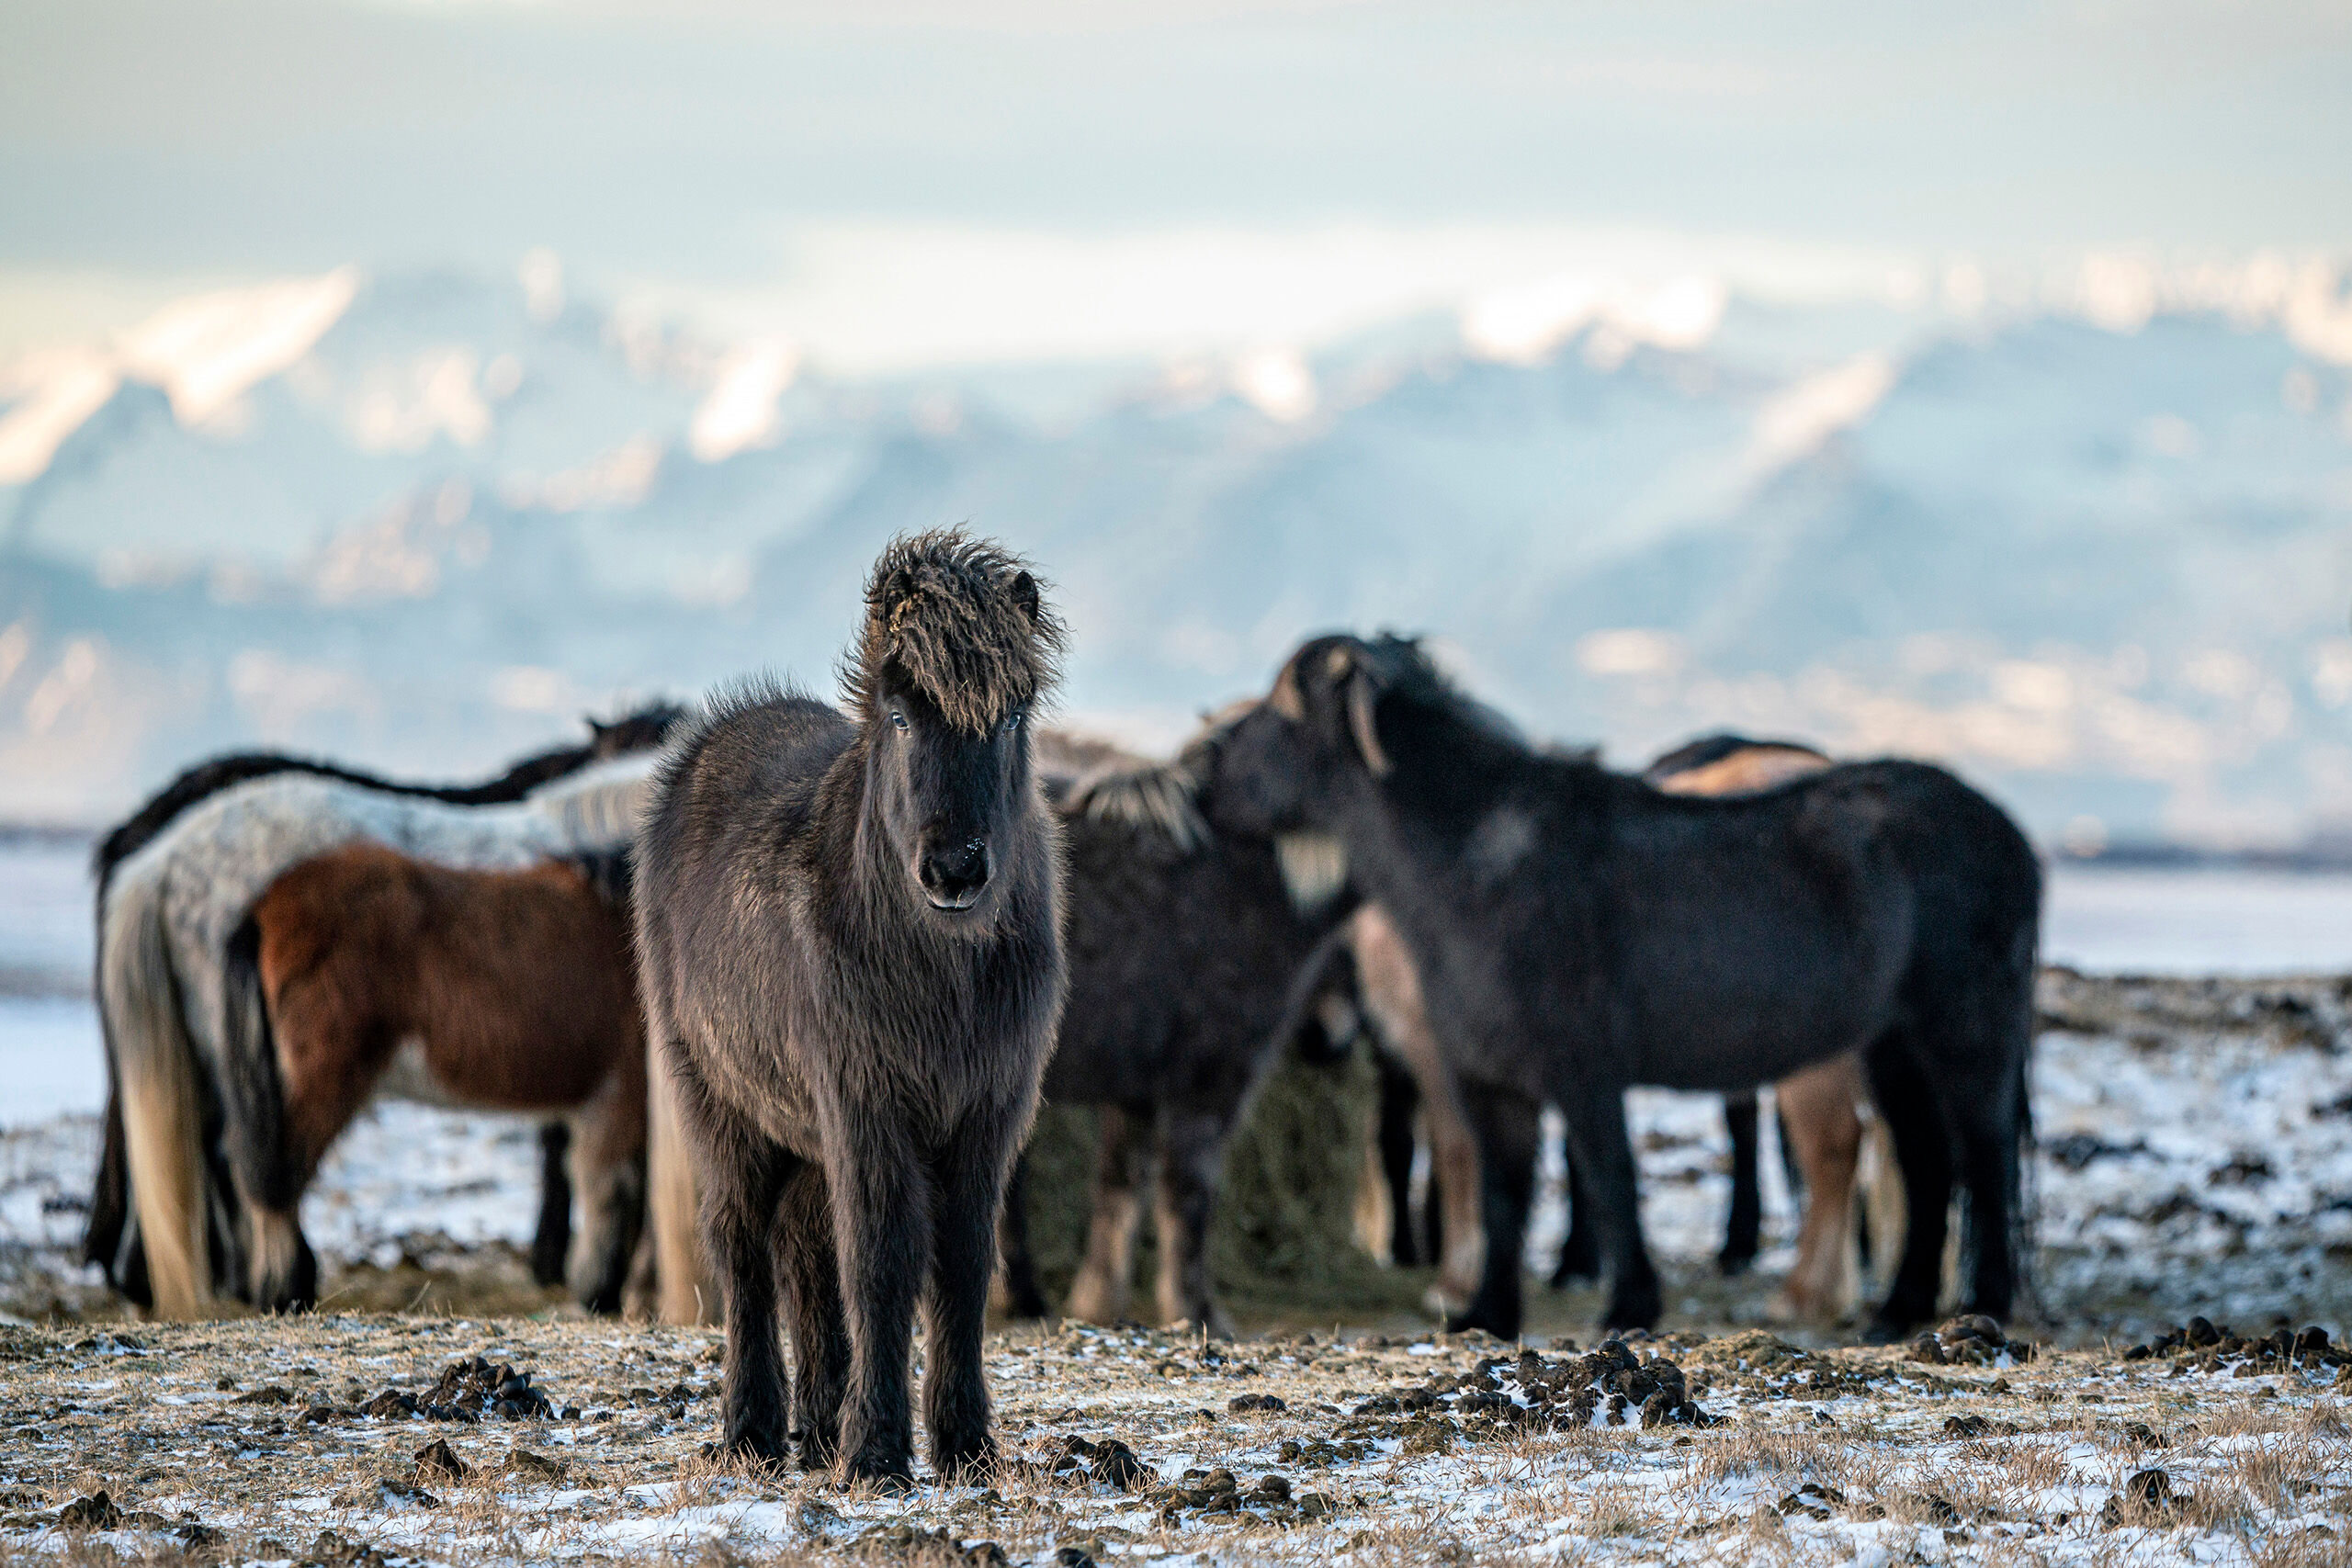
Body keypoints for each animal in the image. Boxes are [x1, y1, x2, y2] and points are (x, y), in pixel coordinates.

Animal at [634, 531, 1066, 1486]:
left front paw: (965, 1445)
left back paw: (819, 1425)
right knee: (744, 1253)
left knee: (803, 1255)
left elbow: (962, 1265)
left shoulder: (987, 1112)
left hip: (805, 1137)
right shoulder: (868, 1107)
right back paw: (753, 1433)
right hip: (721, 1106)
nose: (955, 869)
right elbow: (881, 1263)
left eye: (1010, 718)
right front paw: (877, 1454)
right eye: (900, 717)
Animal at [1216, 633, 2040, 1338]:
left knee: (1974, 1152)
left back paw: (1965, 1303)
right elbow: (1503, 1187)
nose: (1203, 775)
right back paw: (1895, 1313)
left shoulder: (1572, 1066)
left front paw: (1620, 1308)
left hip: (1963, 1031)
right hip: (1893, 1044)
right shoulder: (1488, 1073)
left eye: (1278, 708)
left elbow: (1598, 1178)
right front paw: (1486, 1309)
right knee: (1927, 1162)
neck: (1478, 867)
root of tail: (2009, 832)